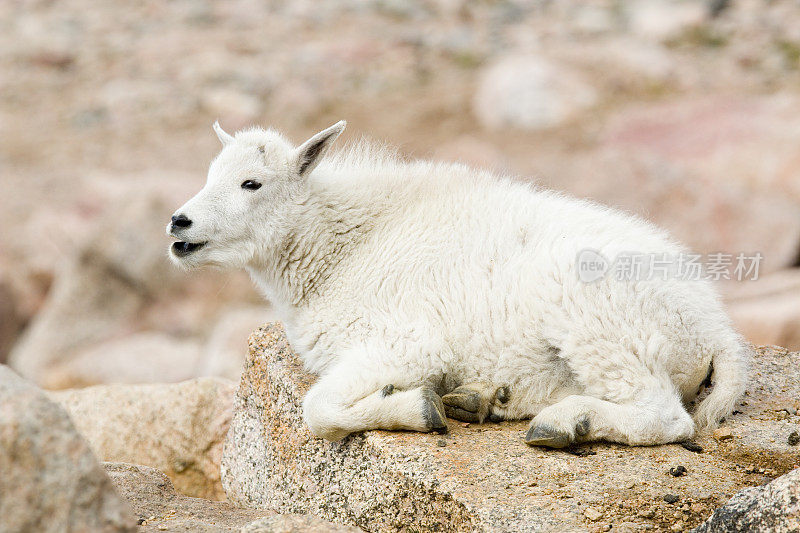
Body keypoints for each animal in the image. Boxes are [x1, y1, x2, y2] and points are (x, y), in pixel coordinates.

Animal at [169, 120, 752, 444]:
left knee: (665, 417)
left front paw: (417, 409)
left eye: (251, 183)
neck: (340, 248)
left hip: (602, 319)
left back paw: (565, 424)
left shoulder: (406, 341)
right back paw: (483, 400)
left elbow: (318, 411)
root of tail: (718, 333)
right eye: (210, 173)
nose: (179, 225)